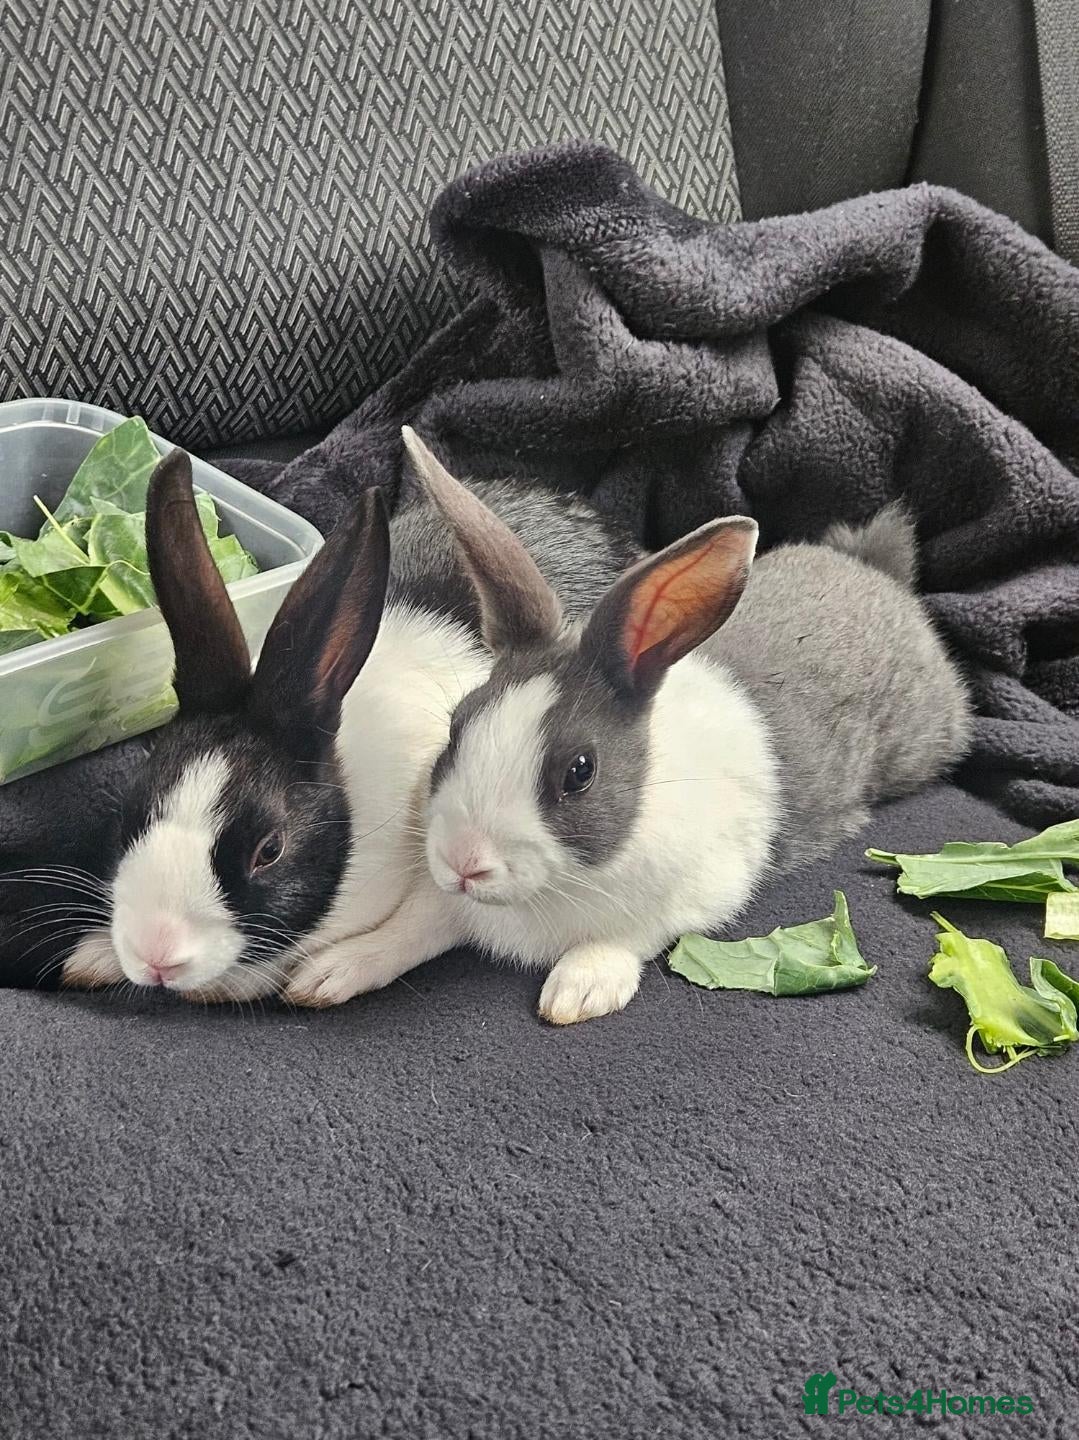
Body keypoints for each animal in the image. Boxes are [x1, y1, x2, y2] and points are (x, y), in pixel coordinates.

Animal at [61, 434, 639, 1002]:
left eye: (270, 851)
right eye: (131, 814)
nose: (156, 956)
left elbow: (426, 925)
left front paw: (331, 975)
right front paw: (93, 956)